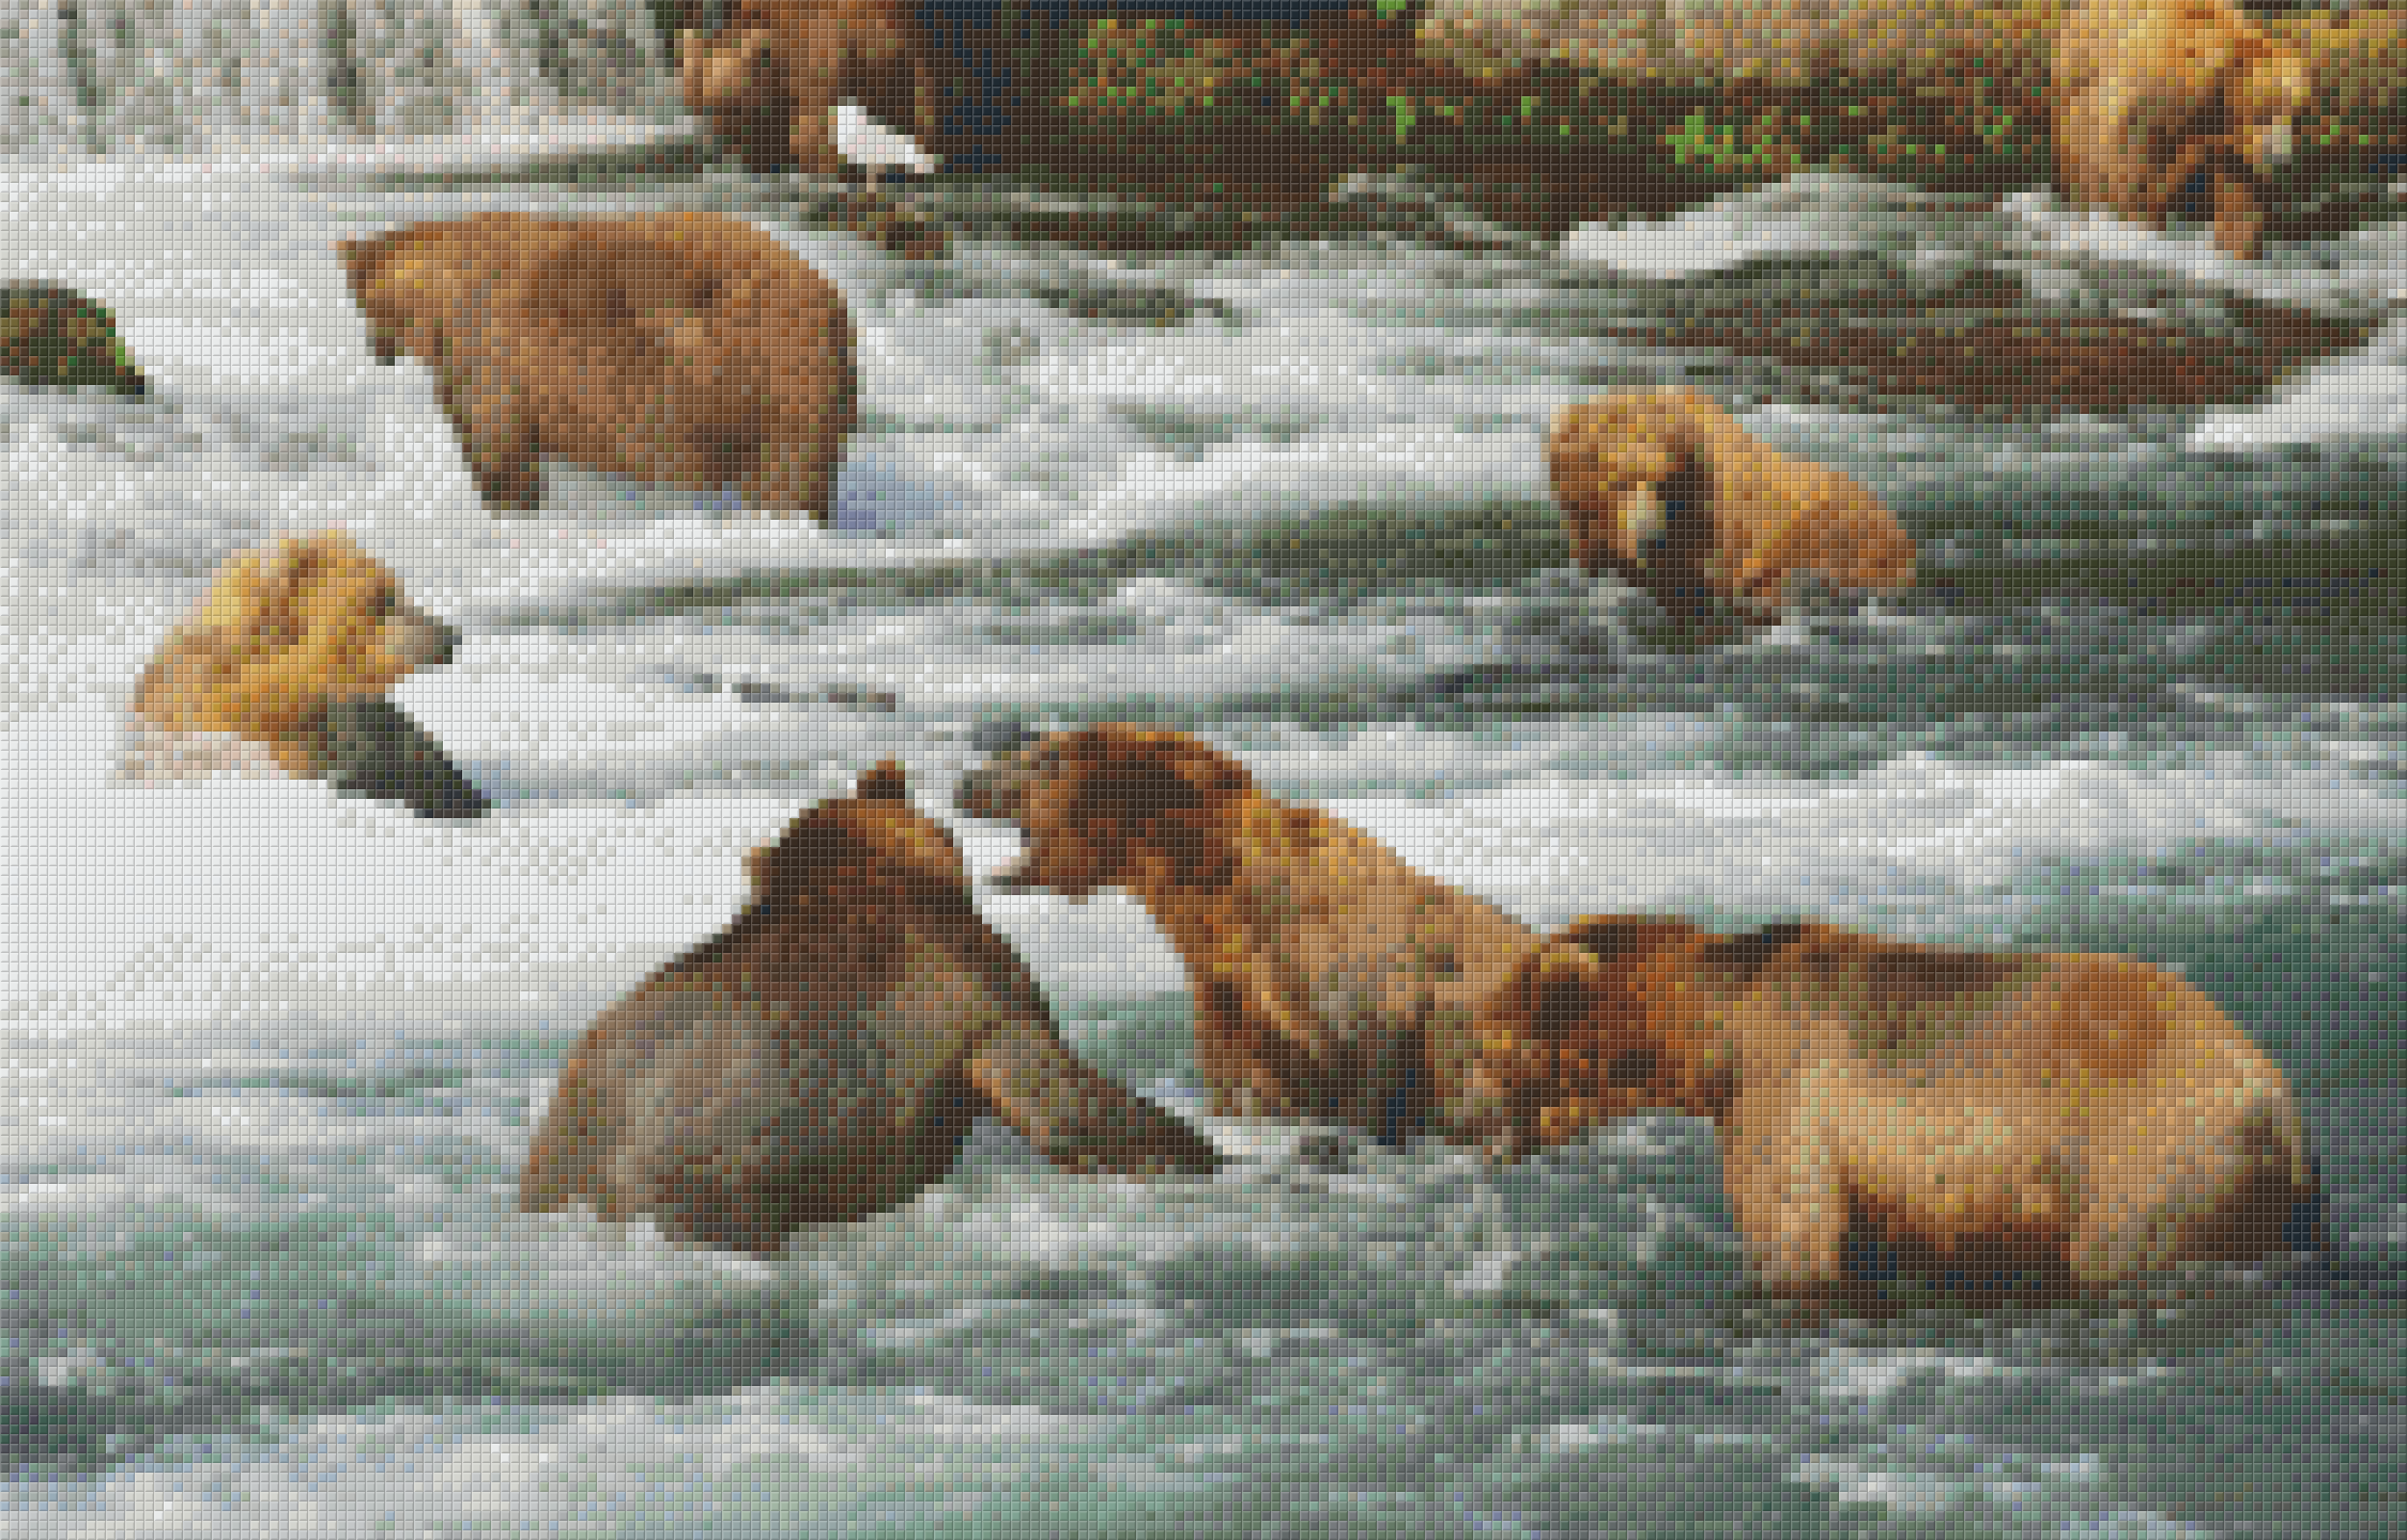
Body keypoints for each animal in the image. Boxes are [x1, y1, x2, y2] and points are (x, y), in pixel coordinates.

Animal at [339, 212, 857, 520]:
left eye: (364, 306)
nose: (374, 349)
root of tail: (837, 303)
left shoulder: (495, 352)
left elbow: (498, 442)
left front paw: (512, 505)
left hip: (762, 374)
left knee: (783, 471)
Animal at [1459, 914, 2324, 1302]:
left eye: (1489, 1043)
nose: (1470, 1127)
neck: (1710, 1034)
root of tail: (2275, 1093)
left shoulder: (1786, 1095)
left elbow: (1792, 1231)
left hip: (2151, 1154)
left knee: (2118, 1246)